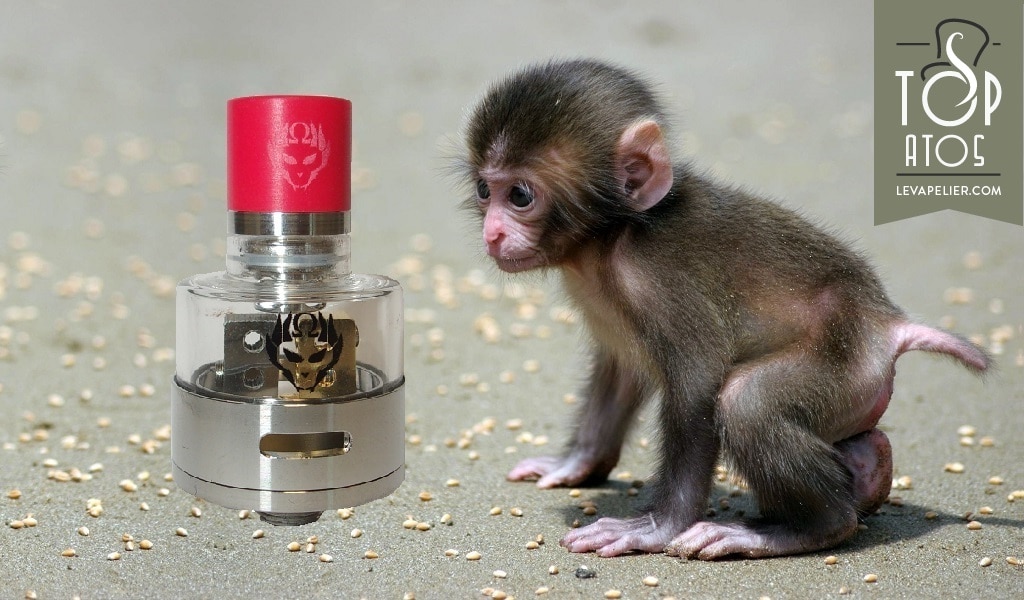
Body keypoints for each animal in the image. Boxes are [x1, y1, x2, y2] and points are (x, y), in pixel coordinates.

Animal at [455, 59, 991, 560]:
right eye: (485, 190)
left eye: (520, 195)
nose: (493, 233)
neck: (610, 238)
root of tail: (886, 323)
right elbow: (623, 370)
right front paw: (577, 464)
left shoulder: (657, 280)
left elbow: (698, 381)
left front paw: (657, 528)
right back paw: (868, 471)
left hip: (847, 364)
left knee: (746, 401)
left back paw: (804, 529)